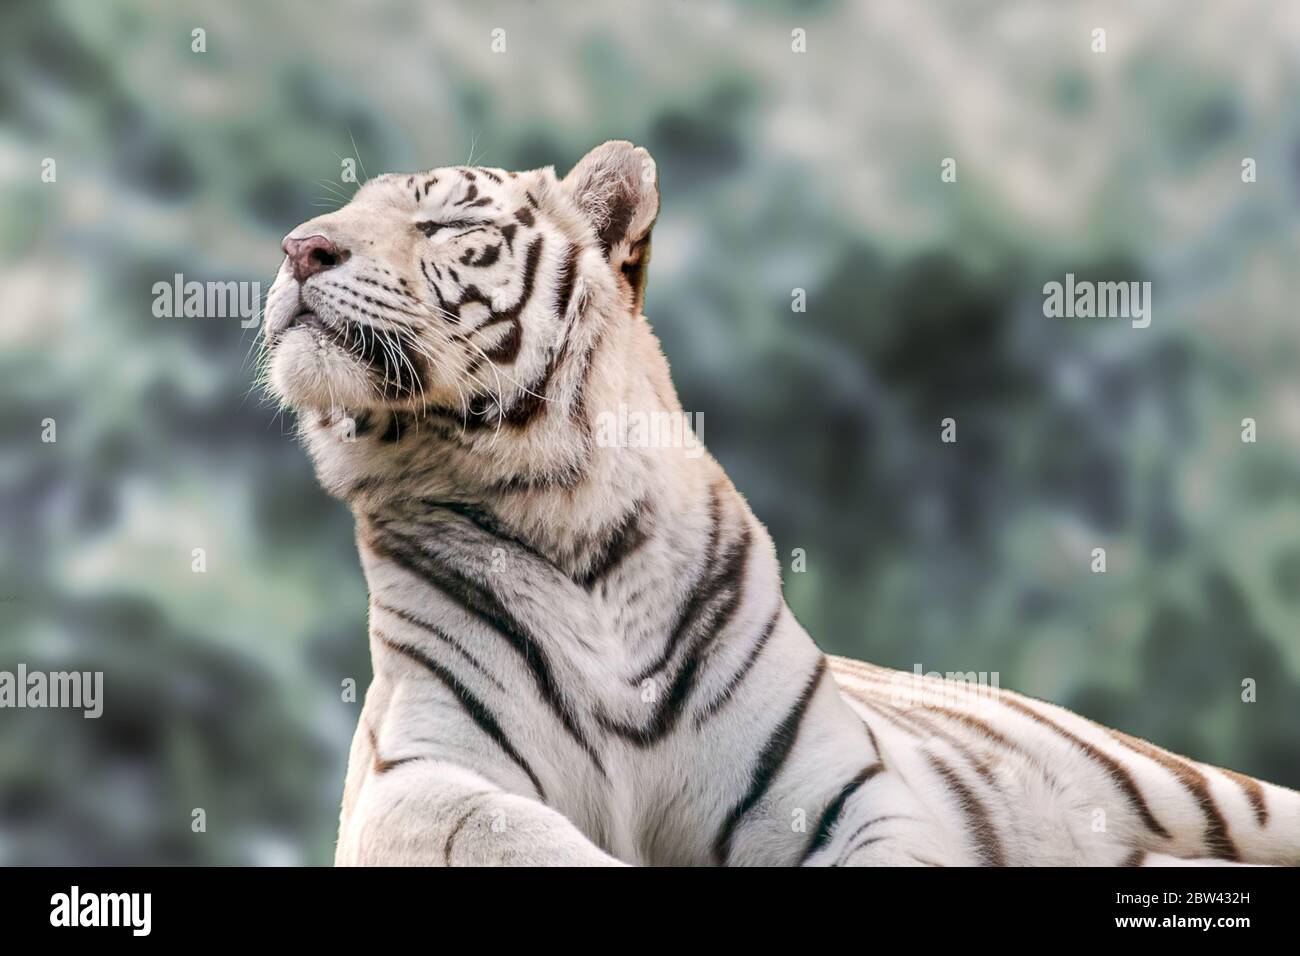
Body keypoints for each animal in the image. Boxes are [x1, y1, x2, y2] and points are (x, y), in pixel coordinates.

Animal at [262, 140, 1300, 866]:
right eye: (342, 210)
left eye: (441, 223)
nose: (300, 247)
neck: (557, 514)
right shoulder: (422, 777)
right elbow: (516, 837)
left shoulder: (843, 791)